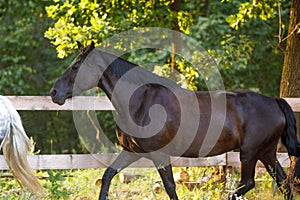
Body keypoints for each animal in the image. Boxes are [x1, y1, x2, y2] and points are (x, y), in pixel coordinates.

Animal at [50, 41, 298, 199]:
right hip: (266, 152)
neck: (140, 102)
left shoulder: (160, 154)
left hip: (249, 153)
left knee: (248, 183)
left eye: (76, 66)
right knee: (284, 184)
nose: (54, 93)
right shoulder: (131, 152)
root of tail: (275, 102)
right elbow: (107, 176)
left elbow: (170, 187)